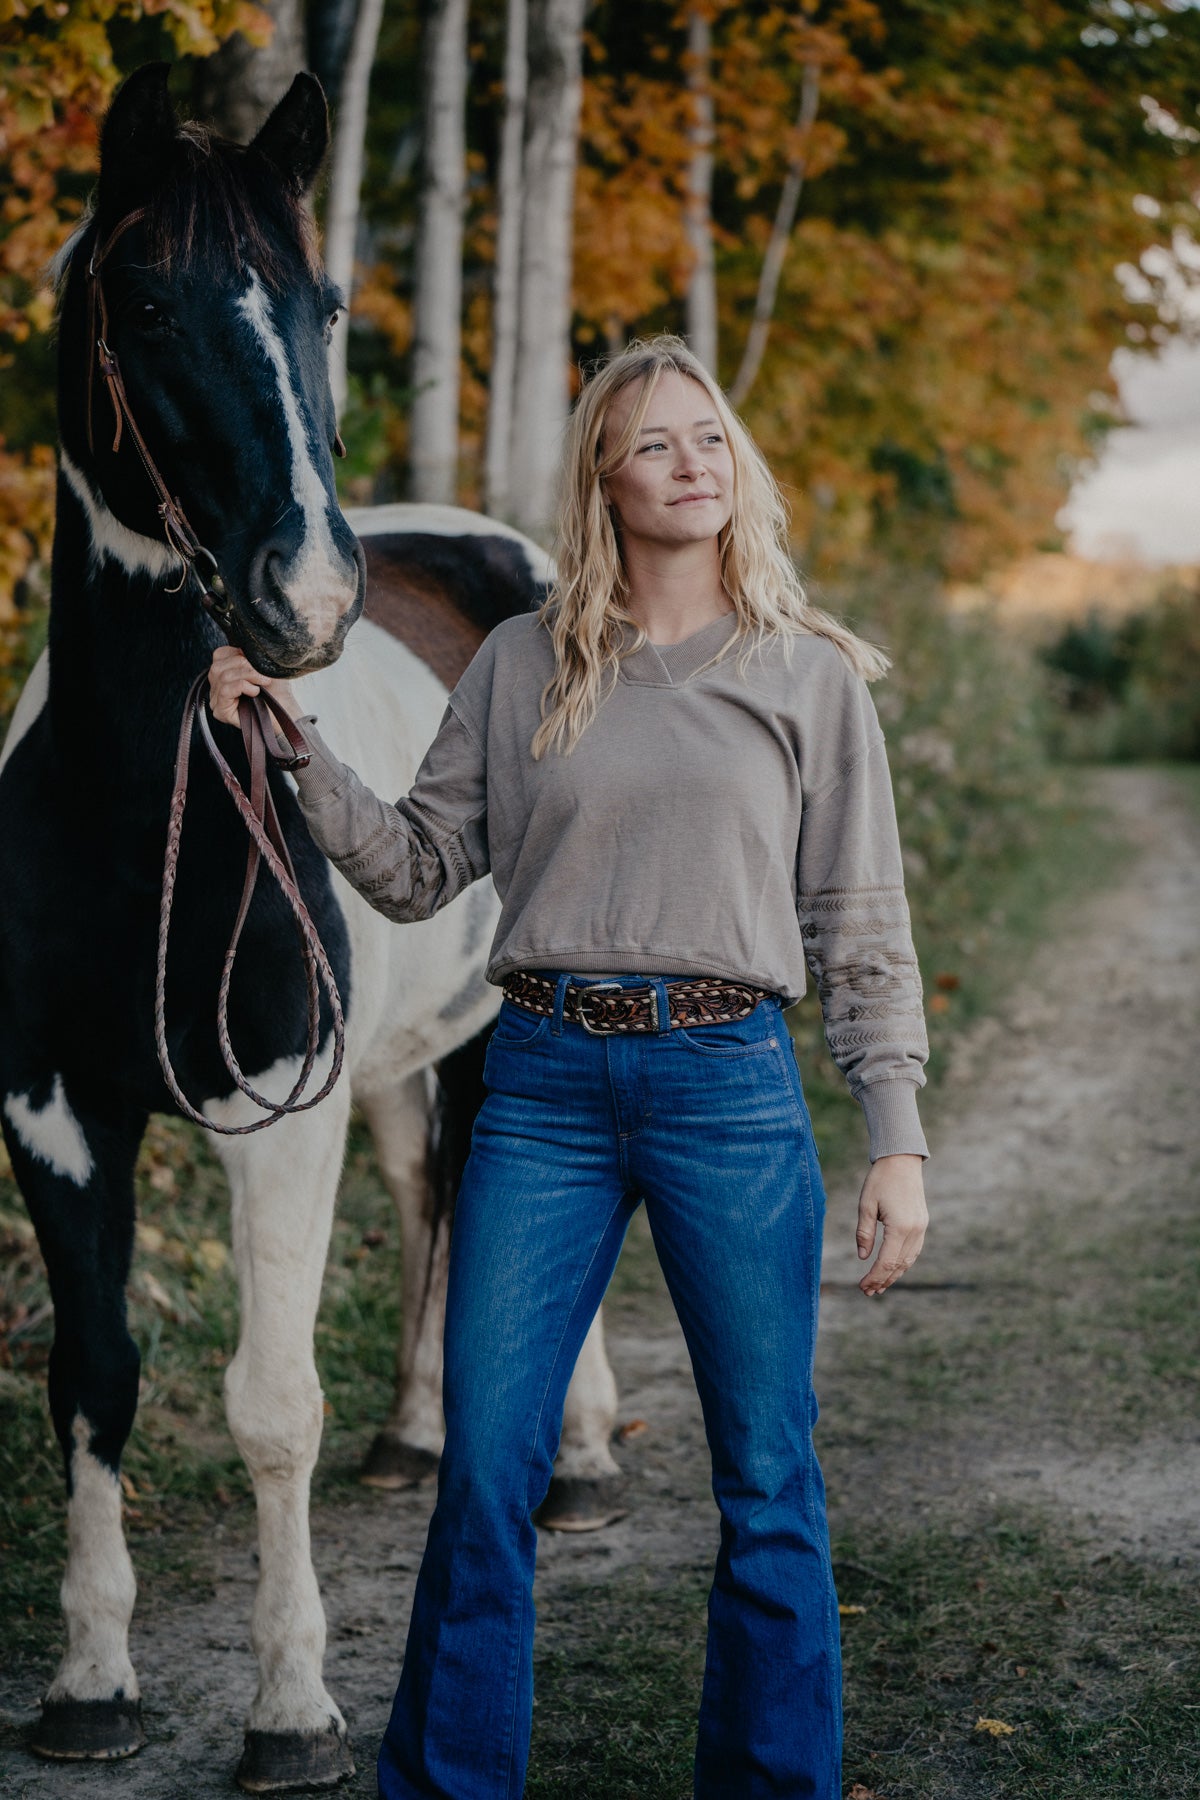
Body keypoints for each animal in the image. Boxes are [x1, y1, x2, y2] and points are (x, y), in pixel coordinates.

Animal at [0, 63, 618, 1792]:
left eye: (320, 302)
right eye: (143, 298)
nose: (309, 598)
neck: (141, 806)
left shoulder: (278, 1112)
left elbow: (271, 1401)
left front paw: (290, 1707)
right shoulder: (54, 1116)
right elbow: (93, 1381)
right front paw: (90, 1683)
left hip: (509, 1019)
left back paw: (579, 1461)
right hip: (408, 1055)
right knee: (436, 1194)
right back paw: (421, 1437)